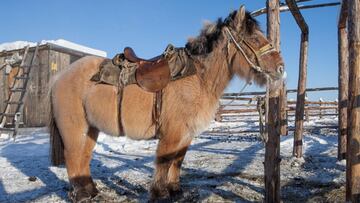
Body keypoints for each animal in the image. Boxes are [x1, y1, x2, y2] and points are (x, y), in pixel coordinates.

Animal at [48, 5, 284, 202]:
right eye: (253, 38)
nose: (281, 68)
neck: (197, 77)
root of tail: (59, 77)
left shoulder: (186, 135)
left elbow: (177, 161)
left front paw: (175, 190)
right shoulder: (172, 134)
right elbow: (164, 161)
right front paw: (160, 193)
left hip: (90, 129)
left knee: (83, 158)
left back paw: (91, 190)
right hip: (74, 128)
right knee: (73, 157)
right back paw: (81, 195)